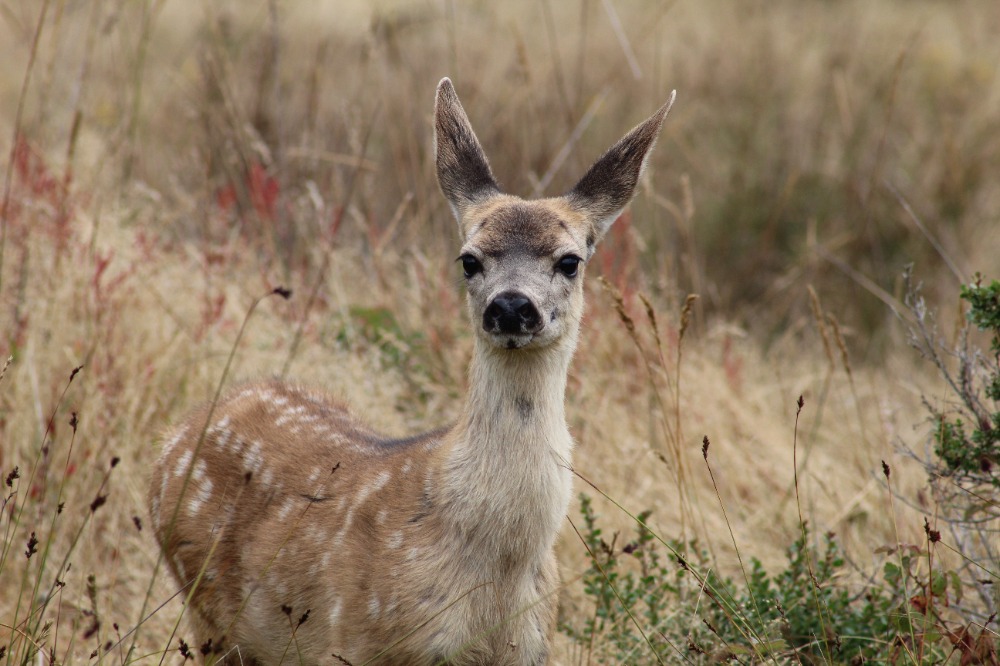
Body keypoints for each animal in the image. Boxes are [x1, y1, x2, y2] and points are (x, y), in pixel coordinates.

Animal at [148, 78, 674, 665]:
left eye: (569, 260)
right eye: (469, 259)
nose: (511, 306)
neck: (497, 573)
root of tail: (174, 438)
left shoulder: (533, 647)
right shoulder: (353, 643)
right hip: (209, 613)